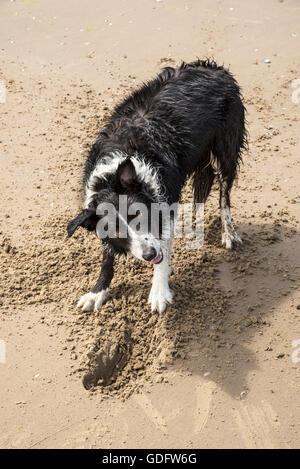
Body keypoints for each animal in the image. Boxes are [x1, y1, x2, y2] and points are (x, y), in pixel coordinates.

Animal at [68, 60, 246, 312]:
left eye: (139, 214)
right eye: (116, 231)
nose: (149, 254)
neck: (112, 176)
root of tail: (214, 68)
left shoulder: (163, 203)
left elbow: (163, 251)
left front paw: (159, 292)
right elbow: (107, 257)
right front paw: (97, 292)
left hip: (226, 150)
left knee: (224, 195)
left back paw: (229, 233)